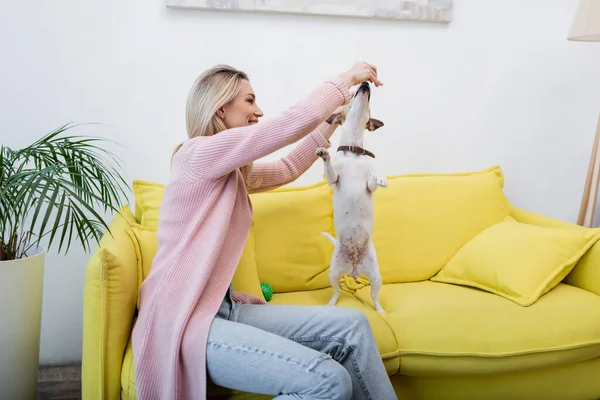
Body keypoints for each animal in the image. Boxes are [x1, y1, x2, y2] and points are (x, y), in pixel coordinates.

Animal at [316, 80, 386, 312]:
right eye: (350, 98)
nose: (365, 83)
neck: (353, 152)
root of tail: (354, 269)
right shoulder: (333, 178)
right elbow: (329, 169)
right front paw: (324, 154)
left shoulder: (368, 185)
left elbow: (373, 181)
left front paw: (381, 178)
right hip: (333, 273)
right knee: (337, 291)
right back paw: (330, 304)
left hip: (376, 277)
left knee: (374, 297)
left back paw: (381, 311)